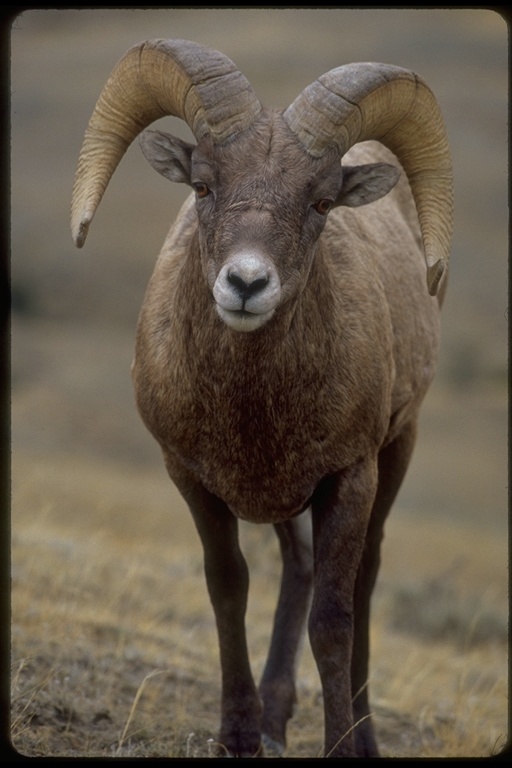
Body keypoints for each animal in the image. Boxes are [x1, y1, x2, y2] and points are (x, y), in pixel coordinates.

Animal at [71, 40, 452, 756]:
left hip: (397, 451)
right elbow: (229, 589)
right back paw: (275, 719)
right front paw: (239, 735)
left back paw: (362, 734)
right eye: (202, 185)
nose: (246, 284)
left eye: (322, 203)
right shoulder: (192, 481)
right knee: (296, 569)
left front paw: (340, 746)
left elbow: (334, 619)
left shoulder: (349, 477)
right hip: (285, 503)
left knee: (362, 579)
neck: (253, 409)